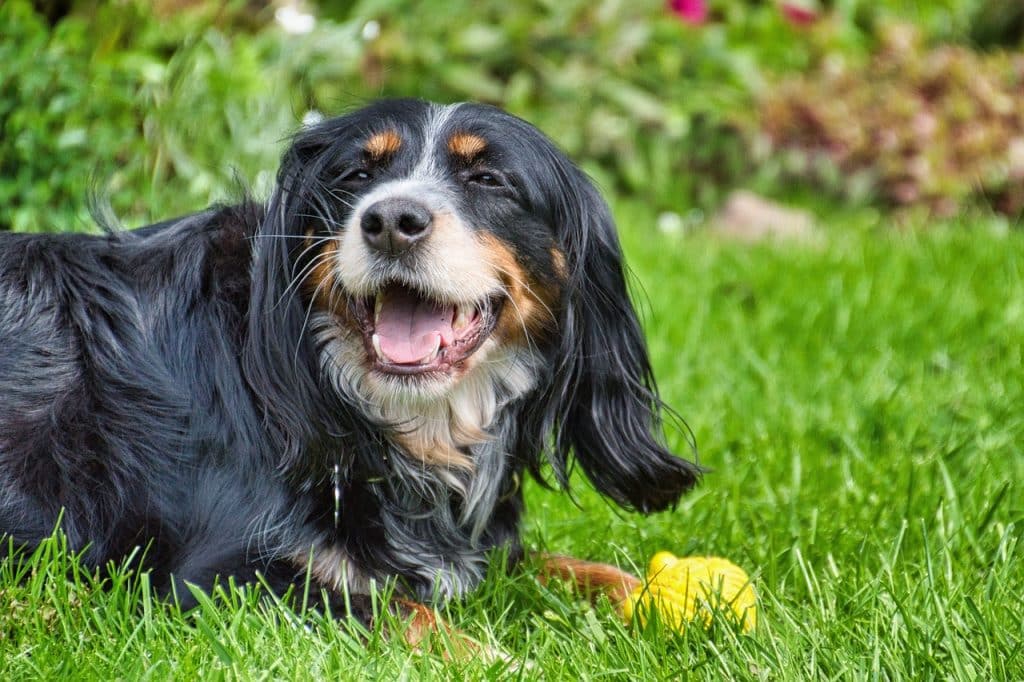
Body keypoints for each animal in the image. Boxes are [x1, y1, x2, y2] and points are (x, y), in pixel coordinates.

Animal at [0, 98, 700, 634]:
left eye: (489, 180)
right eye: (356, 176)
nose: (391, 220)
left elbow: (567, 563)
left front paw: (678, 598)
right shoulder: (216, 578)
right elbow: (400, 610)